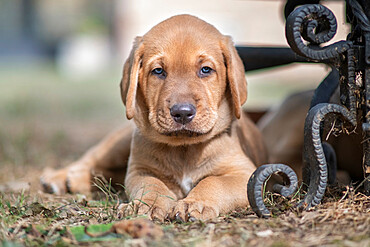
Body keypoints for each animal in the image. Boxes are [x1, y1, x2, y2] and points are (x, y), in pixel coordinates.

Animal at [40, 14, 268, 221]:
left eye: (205, 70)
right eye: (158, 71)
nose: (182, 112)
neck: (184, 149)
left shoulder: (243, 173)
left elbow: (213, 182)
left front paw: (196, 203)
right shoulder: (140, 170)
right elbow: (152, 184)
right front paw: (146, 205)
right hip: (117, 144)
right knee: (90, 159)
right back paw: (58, 178)